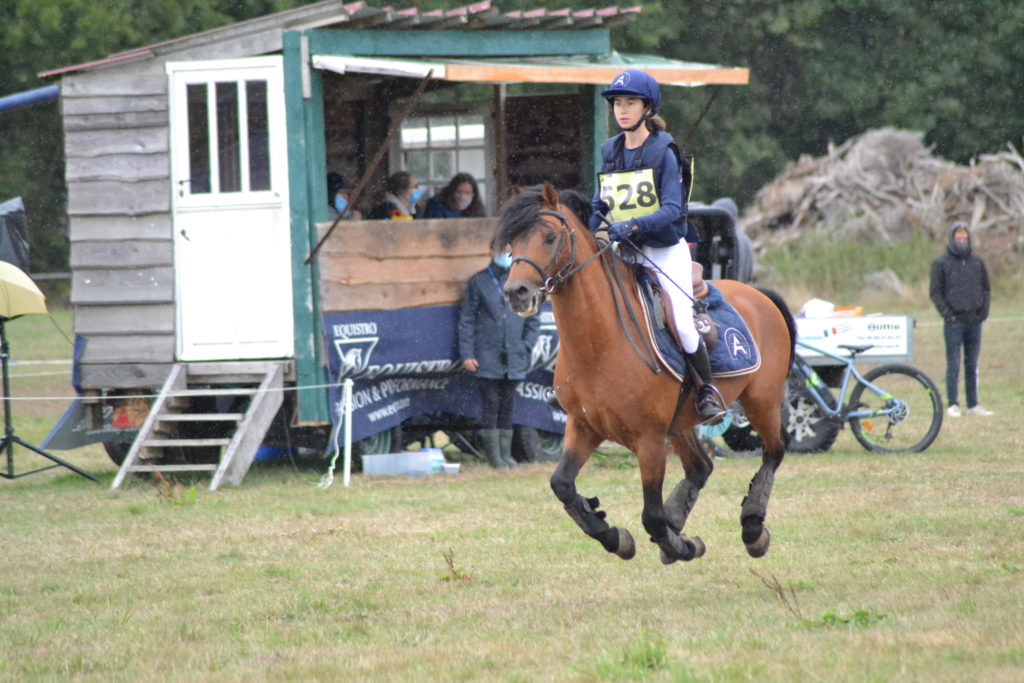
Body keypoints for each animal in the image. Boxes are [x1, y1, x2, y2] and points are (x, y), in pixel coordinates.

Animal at [499, 184, 794, 565]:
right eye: (511, 242)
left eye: (549, 237)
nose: (515, 293)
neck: (598, 343)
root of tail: (759, 294)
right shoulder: (584, 426)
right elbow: (562, 484)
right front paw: (615, 536)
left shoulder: (649, 439)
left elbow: (650, 516)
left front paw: (679, 544)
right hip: (682, 422)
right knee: (701, 467)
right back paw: (678, 522)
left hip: (761, 401)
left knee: (774, 450)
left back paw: (752, 528)